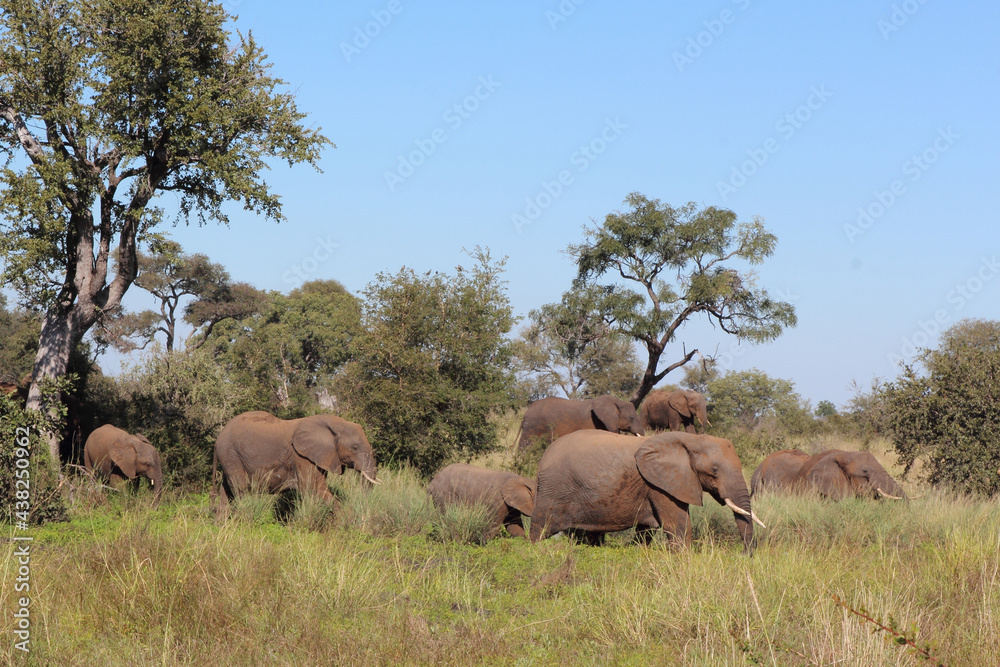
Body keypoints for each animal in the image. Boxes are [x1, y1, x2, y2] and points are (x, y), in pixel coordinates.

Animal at [213, 411, 378, 514]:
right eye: (355, 447)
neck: (334, 423)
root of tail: (218, 438)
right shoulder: (301, 458)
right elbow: (312, 490)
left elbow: (320, 489)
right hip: (231, 454)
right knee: (240, 489)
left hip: (229, 458)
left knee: (226, 489)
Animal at [530, 430, 765, 552]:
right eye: (714, 470)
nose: (746, 555)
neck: (690, 438)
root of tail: (542, 459)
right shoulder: (659, 484)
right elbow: (678, 523)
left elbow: (648, 529)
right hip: (553, 490)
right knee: (540, 528)